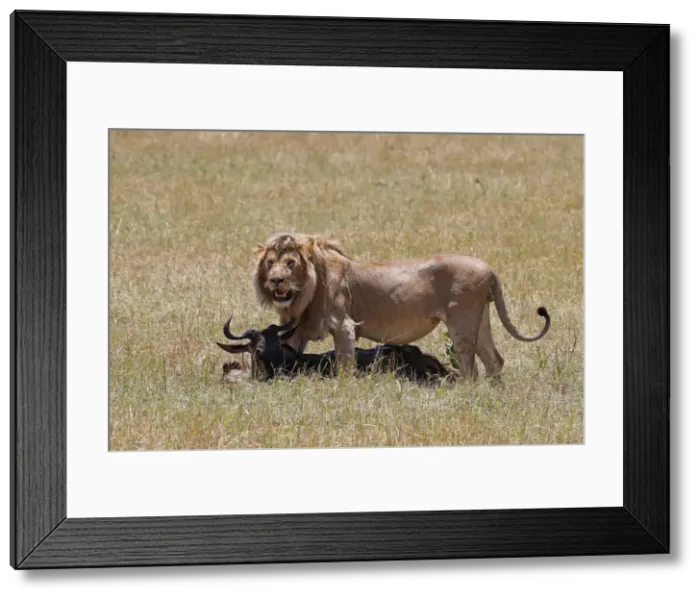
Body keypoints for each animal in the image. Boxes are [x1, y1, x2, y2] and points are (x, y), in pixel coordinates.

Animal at [253, 232, 550, 380]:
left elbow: (345, 366)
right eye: (270, 263)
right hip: (482, 320)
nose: (276, 280)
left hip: (461, 322)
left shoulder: (345, 326)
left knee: (470, 369)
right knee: (494, 361)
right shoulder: (299, 329)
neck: (307, 291)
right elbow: (289, 354)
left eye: (291, 263)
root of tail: (489, 269)